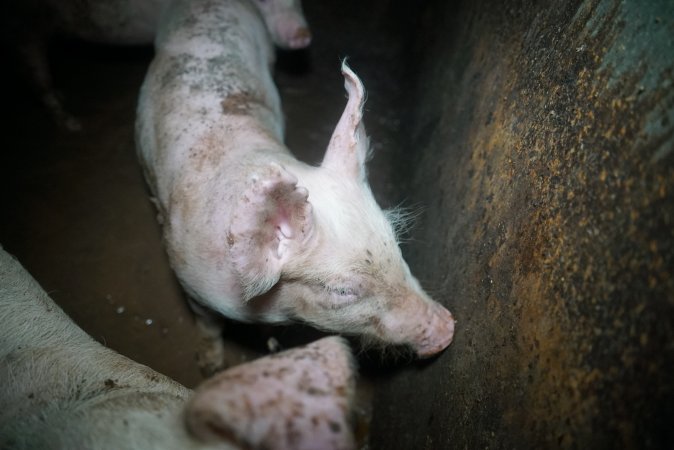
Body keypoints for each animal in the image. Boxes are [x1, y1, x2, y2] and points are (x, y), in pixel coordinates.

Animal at [135, 0, 454, 372]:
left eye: (394, 244)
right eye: (342, 291)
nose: (448, 328)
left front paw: (270, 345)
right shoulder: (191, 283)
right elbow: (208, 324)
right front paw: (210, 366)